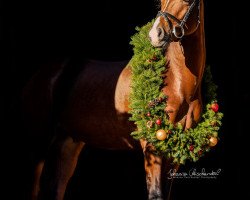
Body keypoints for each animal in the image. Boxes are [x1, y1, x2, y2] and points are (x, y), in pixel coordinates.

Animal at [22, 0, 205, 199]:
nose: (155, 34)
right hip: (37, 144)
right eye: (161, 2)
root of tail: (41, 74)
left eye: (187, 1)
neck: (175, 84)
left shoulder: (174, 151)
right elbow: (155, 193)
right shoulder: (152, 146)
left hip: (65, 143)